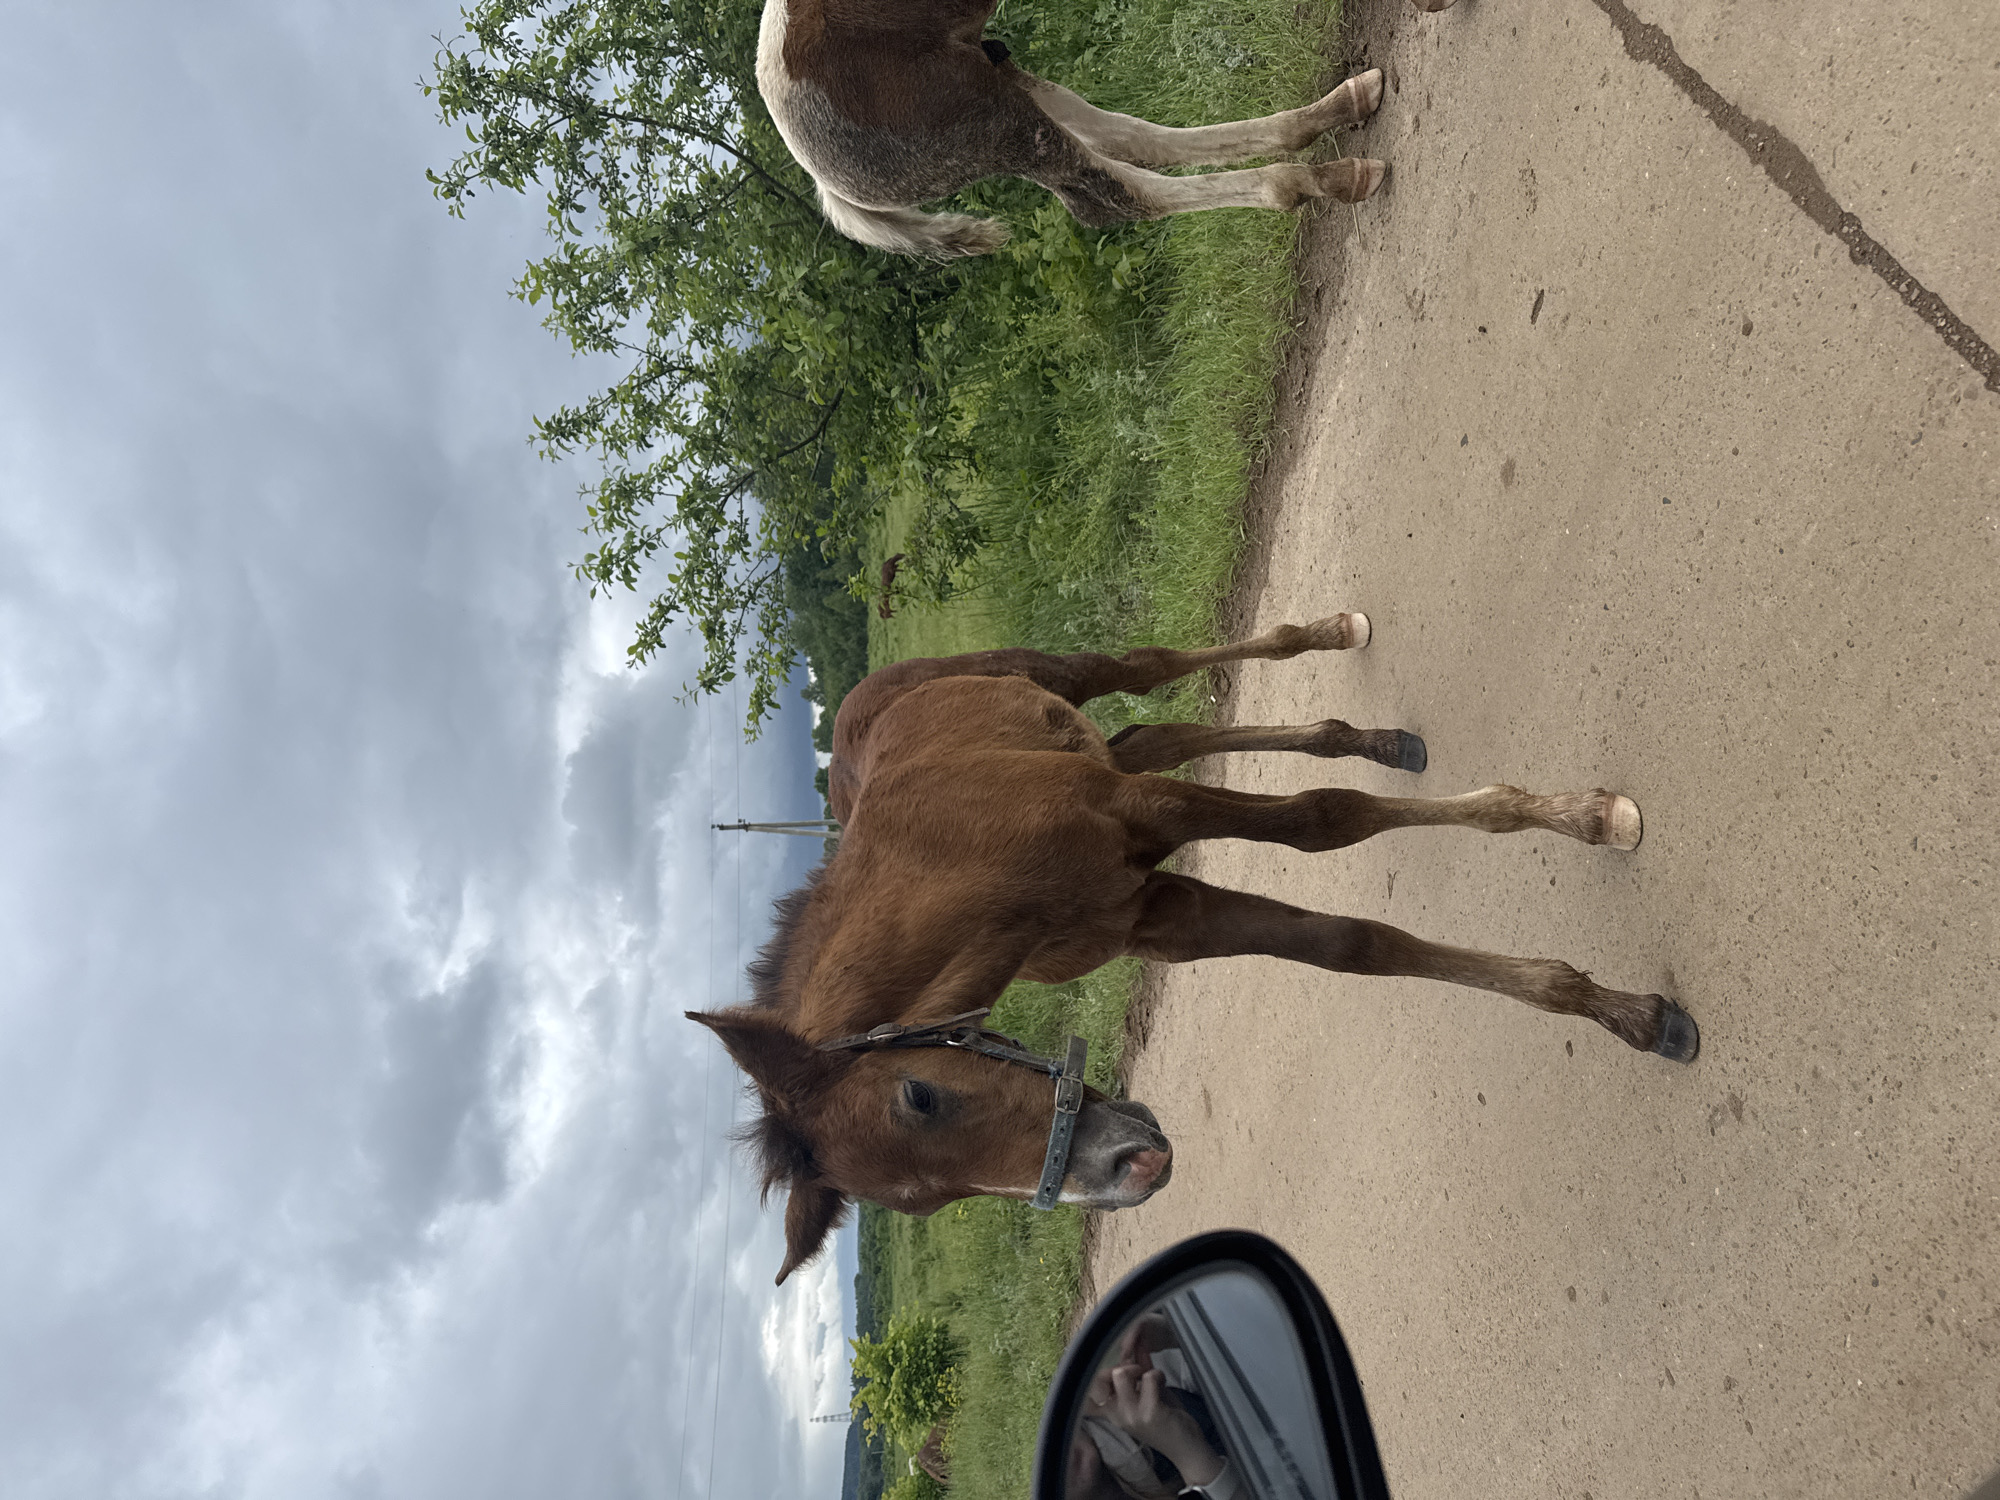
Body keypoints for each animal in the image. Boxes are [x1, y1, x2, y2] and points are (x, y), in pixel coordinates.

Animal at [690, 615, 1700, 1283]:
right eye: (926, 1203)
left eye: (919, 1094)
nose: (1128, 1171)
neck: (959, 864)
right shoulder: (1162, 914)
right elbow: (1354, 945)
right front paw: (1618, 1009)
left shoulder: (1148, 816)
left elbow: (1329, 820)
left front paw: (1579, 822)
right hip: (1097, 747)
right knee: (1155, 731)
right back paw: (1372, 736)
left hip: (1056, 672)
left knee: (1151, 667)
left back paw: (1336, 640)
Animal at [755, 0, 1462, 258]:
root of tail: (821, 175)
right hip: (996, 122)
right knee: (1112, 196)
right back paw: (1322, 175)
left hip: (997, 75)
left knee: (1126, 140)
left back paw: (1331, 111)